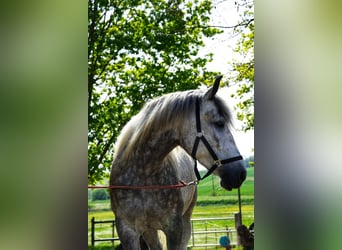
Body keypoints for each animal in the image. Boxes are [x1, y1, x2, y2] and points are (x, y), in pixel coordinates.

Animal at [109, 75, 246, 249]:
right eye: (219, 123)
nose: (241, 174)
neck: (143, 174)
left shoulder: (174, 227)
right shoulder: (126, 231)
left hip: (185, 222)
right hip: (149, 230)